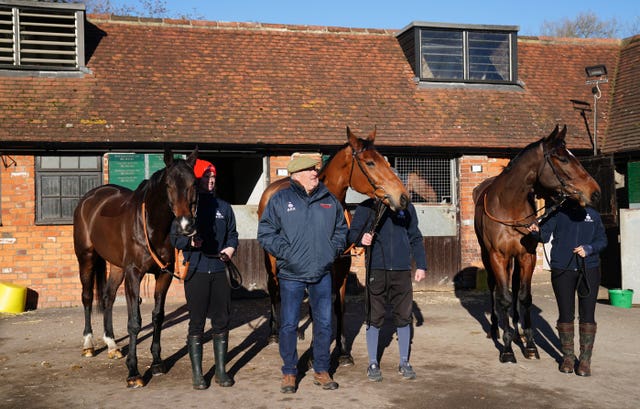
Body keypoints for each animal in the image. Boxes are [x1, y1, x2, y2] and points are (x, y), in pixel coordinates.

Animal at [74, 147, 198, 386]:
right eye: (168, 184)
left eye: (193, 183)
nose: (186, 225)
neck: (150, 227)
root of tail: (90, 198)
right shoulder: (134, 274)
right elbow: (134, 322)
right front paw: (133, 372)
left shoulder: (163, 275)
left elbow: (158, 317)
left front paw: (157, 363)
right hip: (86, 258)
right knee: (87, 297)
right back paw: (88, 344)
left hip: (117, 267)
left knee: (108, 297)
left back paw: (112, 345)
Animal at [256, 126, 410, 364]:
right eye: (370, 162)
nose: (402, 197)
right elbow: (316, 306)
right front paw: (314, 353)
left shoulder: (342, 268)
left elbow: (338, 306)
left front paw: (343, 350)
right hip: (270, 259)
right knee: (274, 287)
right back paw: (274, 333)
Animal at [472, 126, 604, 362]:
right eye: (563, 158)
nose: (595, 192)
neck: (509, 207)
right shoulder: (498, 256)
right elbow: (504, 298)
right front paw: (507, 349)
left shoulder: (527, 256)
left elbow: (524, 297)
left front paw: (530, 345)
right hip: (487, 257)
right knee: (494, 287)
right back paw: (496, 329)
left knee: (515, 288)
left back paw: (517, 332)